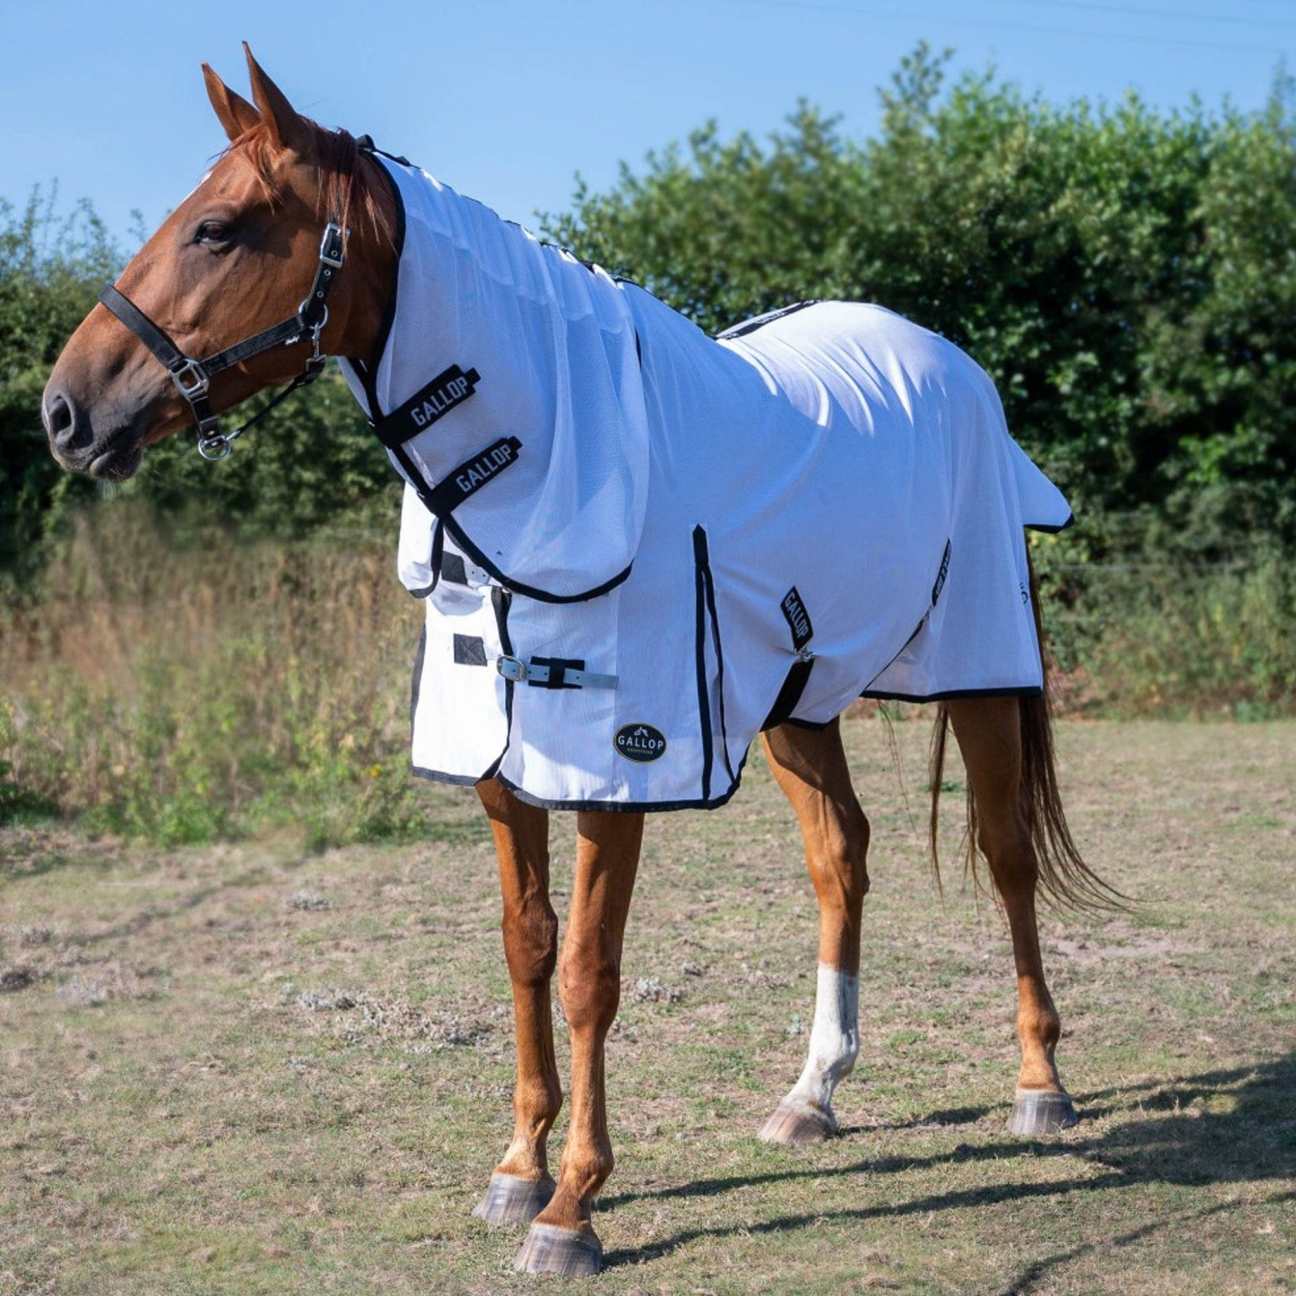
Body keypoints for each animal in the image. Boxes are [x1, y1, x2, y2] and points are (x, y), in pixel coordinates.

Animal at [42, 46, 1121, 1278]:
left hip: (981, 668)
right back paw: (812, 1094)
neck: (553, 446)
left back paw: (1040, 1085)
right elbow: (526, 948)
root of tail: (952, 369)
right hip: (798, 696)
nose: (66, 412)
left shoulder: (621, 763)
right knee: (840, 858)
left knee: (1006, 856)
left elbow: (588, 973)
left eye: (217, 229)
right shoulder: (501, 767)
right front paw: (517, 1168)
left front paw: (572, 1209)